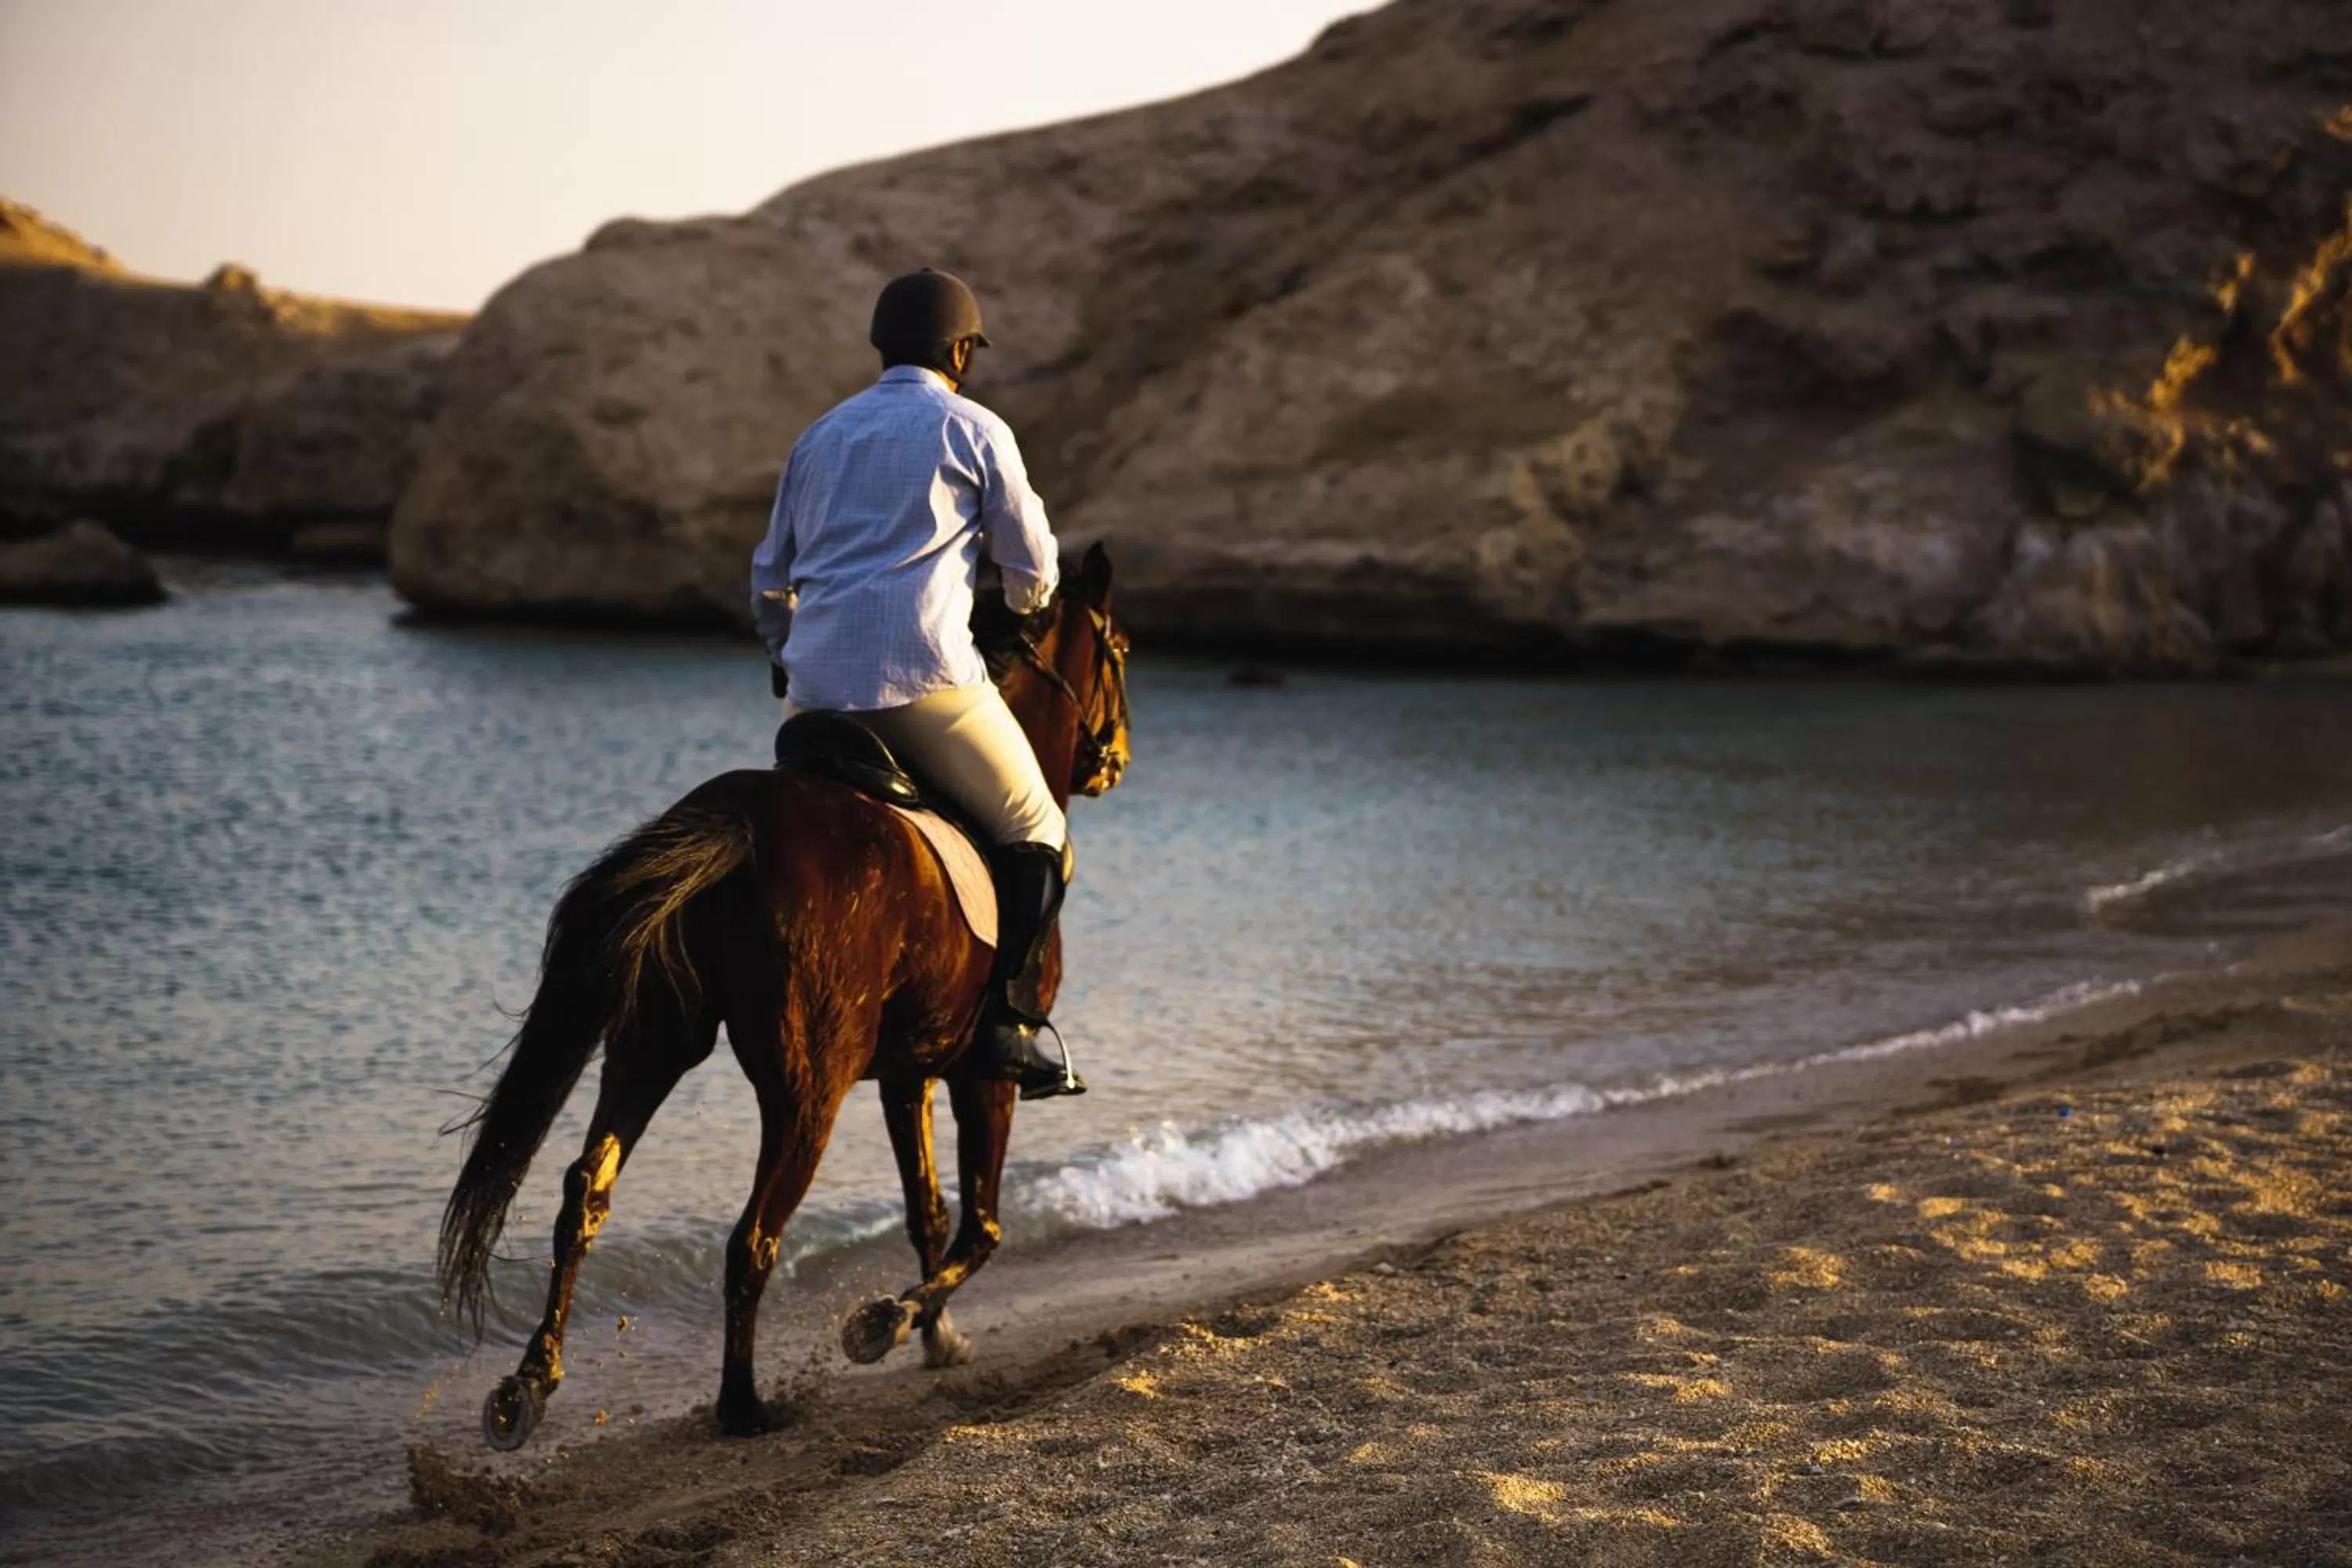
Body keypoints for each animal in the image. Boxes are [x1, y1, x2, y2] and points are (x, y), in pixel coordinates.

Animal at [437, 543, 1131, 1449]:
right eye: (1123, 650)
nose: (1116, 759)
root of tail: (734, 824)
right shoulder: (985, 1075)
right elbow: (982, 1226)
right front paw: (885, 1320)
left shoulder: (909, 1073)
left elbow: (928, 1211)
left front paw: (935, 1336)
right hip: (809, 1091)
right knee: (752, 1238)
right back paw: (742, 1404)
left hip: (652, 1046)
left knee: (585, 1192)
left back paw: (530, 1384)